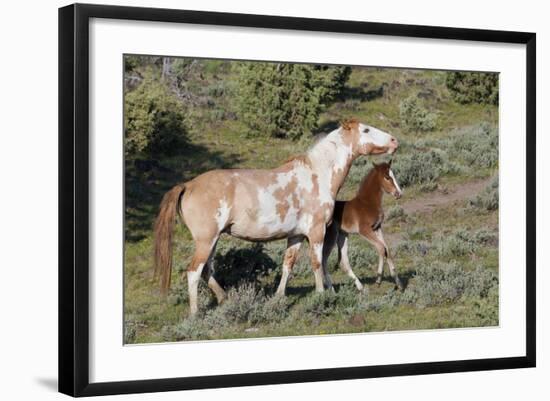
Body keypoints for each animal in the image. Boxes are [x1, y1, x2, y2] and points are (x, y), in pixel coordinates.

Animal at [320, 161, 406, 292]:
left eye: (393, 175)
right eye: (387, 177)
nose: (399, 194)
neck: (368, 203)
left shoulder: (377, 228)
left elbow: (387, 249)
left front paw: (399, 284)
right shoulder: (364, 230)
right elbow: (381, 248)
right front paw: (378, 279)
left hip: (343, 235)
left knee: (343, 261)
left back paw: (360, 287)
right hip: (331, 236)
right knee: (323, 260)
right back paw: (332, 290)